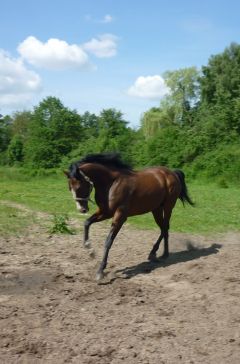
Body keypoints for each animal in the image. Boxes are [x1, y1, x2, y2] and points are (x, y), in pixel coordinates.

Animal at [64, 152, 194, 280]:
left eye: (79, 186)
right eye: (70, 188)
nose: (82, 209)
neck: (111, 183)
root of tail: (172, 173)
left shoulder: (120, 216)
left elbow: (108, 241)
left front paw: (100, 271)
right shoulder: (105, 212)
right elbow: (87, 222)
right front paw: (90, 250)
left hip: (168, 207)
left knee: (166, 228)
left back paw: (163, 254)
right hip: (156, 209)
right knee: (163, 228)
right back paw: (154, 254)